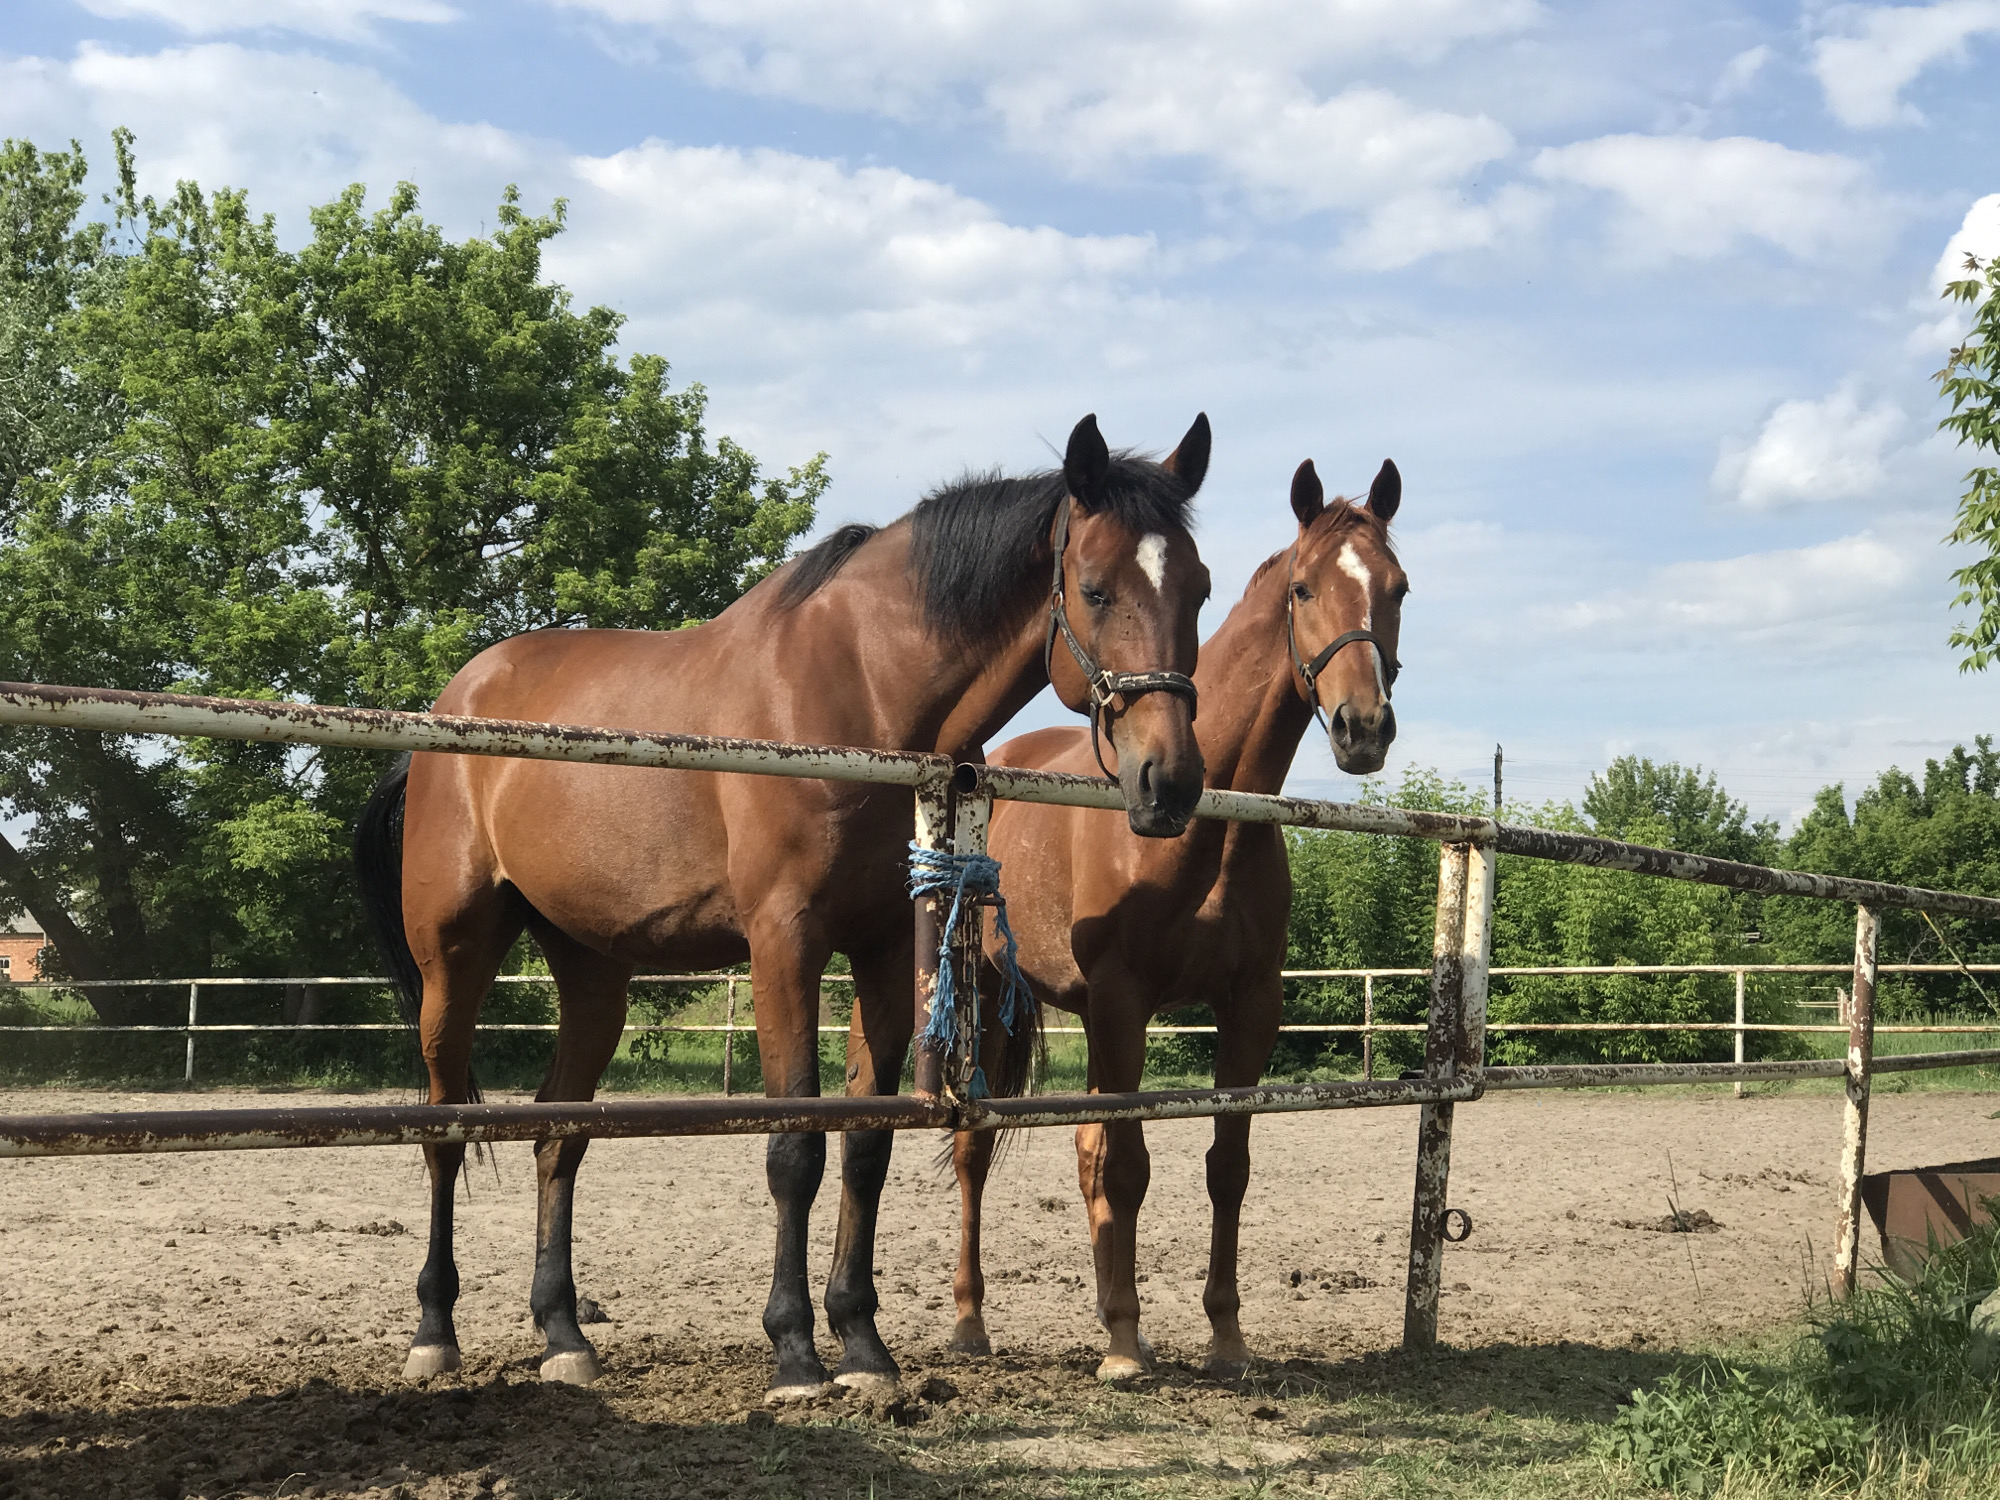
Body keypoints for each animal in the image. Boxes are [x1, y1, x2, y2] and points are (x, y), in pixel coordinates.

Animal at [353, 413, 1215, 1401]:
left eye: (1200, 587)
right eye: (1097, 589)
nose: (1170, 783)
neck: (861, 690)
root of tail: (448, 707)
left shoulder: (882, 949)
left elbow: (866, 1145)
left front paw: (865, 1347)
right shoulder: (783, 942)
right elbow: (794, 1146)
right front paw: (797, 1351)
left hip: (593, 971)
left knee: (556, 1136)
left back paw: (564, 1334)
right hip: (452, 958)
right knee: (444, 1130)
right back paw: (435, 1331)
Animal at [949, 457, 1404, 1379]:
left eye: (1400, 589)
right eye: (1303, 589)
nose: (1363, 727)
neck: (1210, 829)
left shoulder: (1249, 1007)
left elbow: (1225, 1165)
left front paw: (1222, 1335)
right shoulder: (1125, 1002)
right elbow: (1129, 1167)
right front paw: (1125, 1347)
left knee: (1087, 1153)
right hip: (986, 996)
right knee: (981, 1151)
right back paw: (974, 1322)